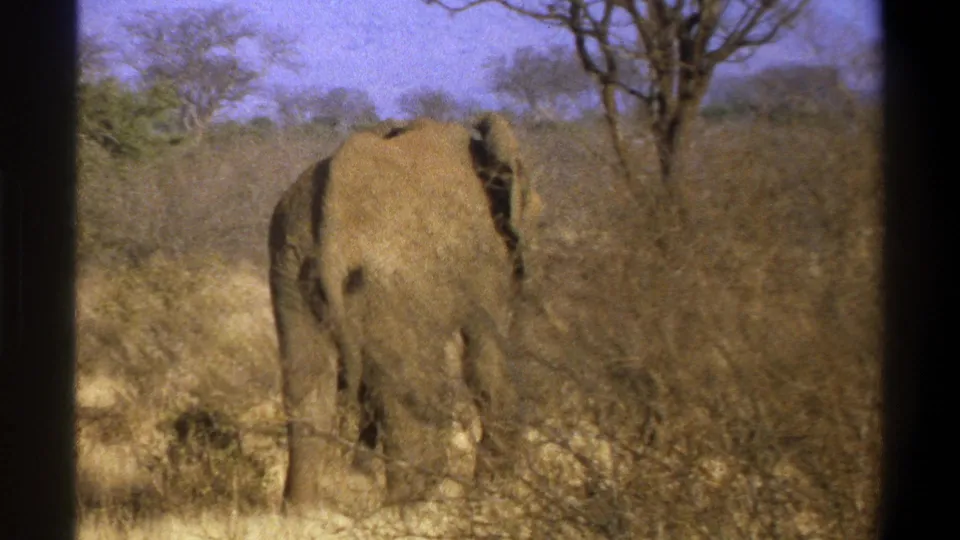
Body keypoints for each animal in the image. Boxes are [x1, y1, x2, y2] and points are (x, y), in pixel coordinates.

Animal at [267, 113, 541, 514]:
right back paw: (413, 506)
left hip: (291, 267)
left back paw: (302, 513)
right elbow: (486, 361)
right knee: (412, 397)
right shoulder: (484, 257)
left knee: (308, 386)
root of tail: (334, 221)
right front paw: (494, 493)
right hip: (397, 281)